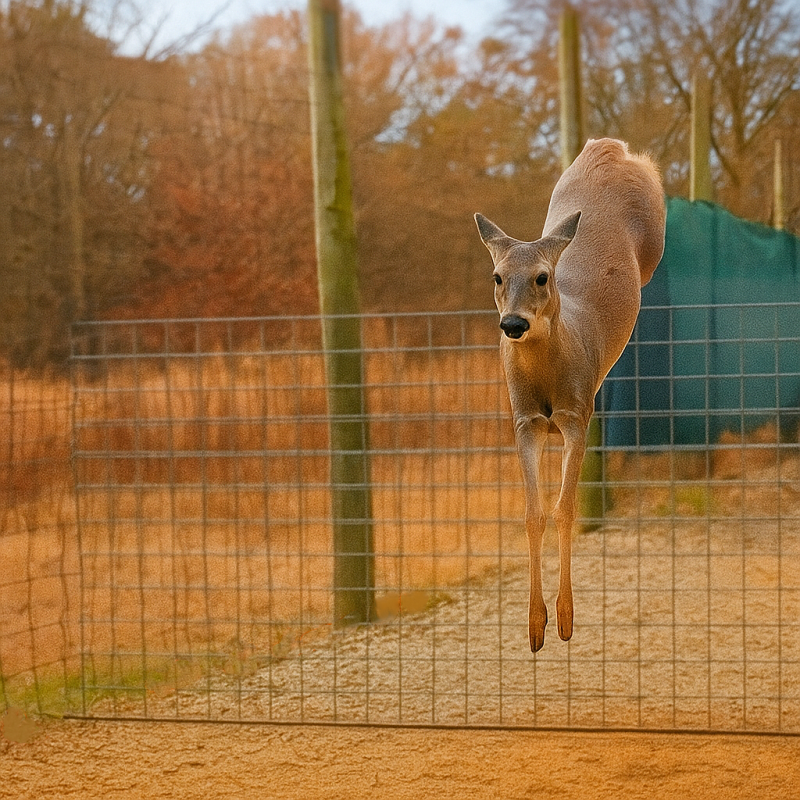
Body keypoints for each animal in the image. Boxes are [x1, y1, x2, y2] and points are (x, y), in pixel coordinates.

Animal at [474, 138, 666, 652]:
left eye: (542, 277)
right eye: (497, 277)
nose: (513, 324)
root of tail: (608, 147)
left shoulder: (577, 414)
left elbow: (564, 511)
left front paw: (564, 620)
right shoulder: (524, 421)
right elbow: (532, 513)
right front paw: (534, 626)